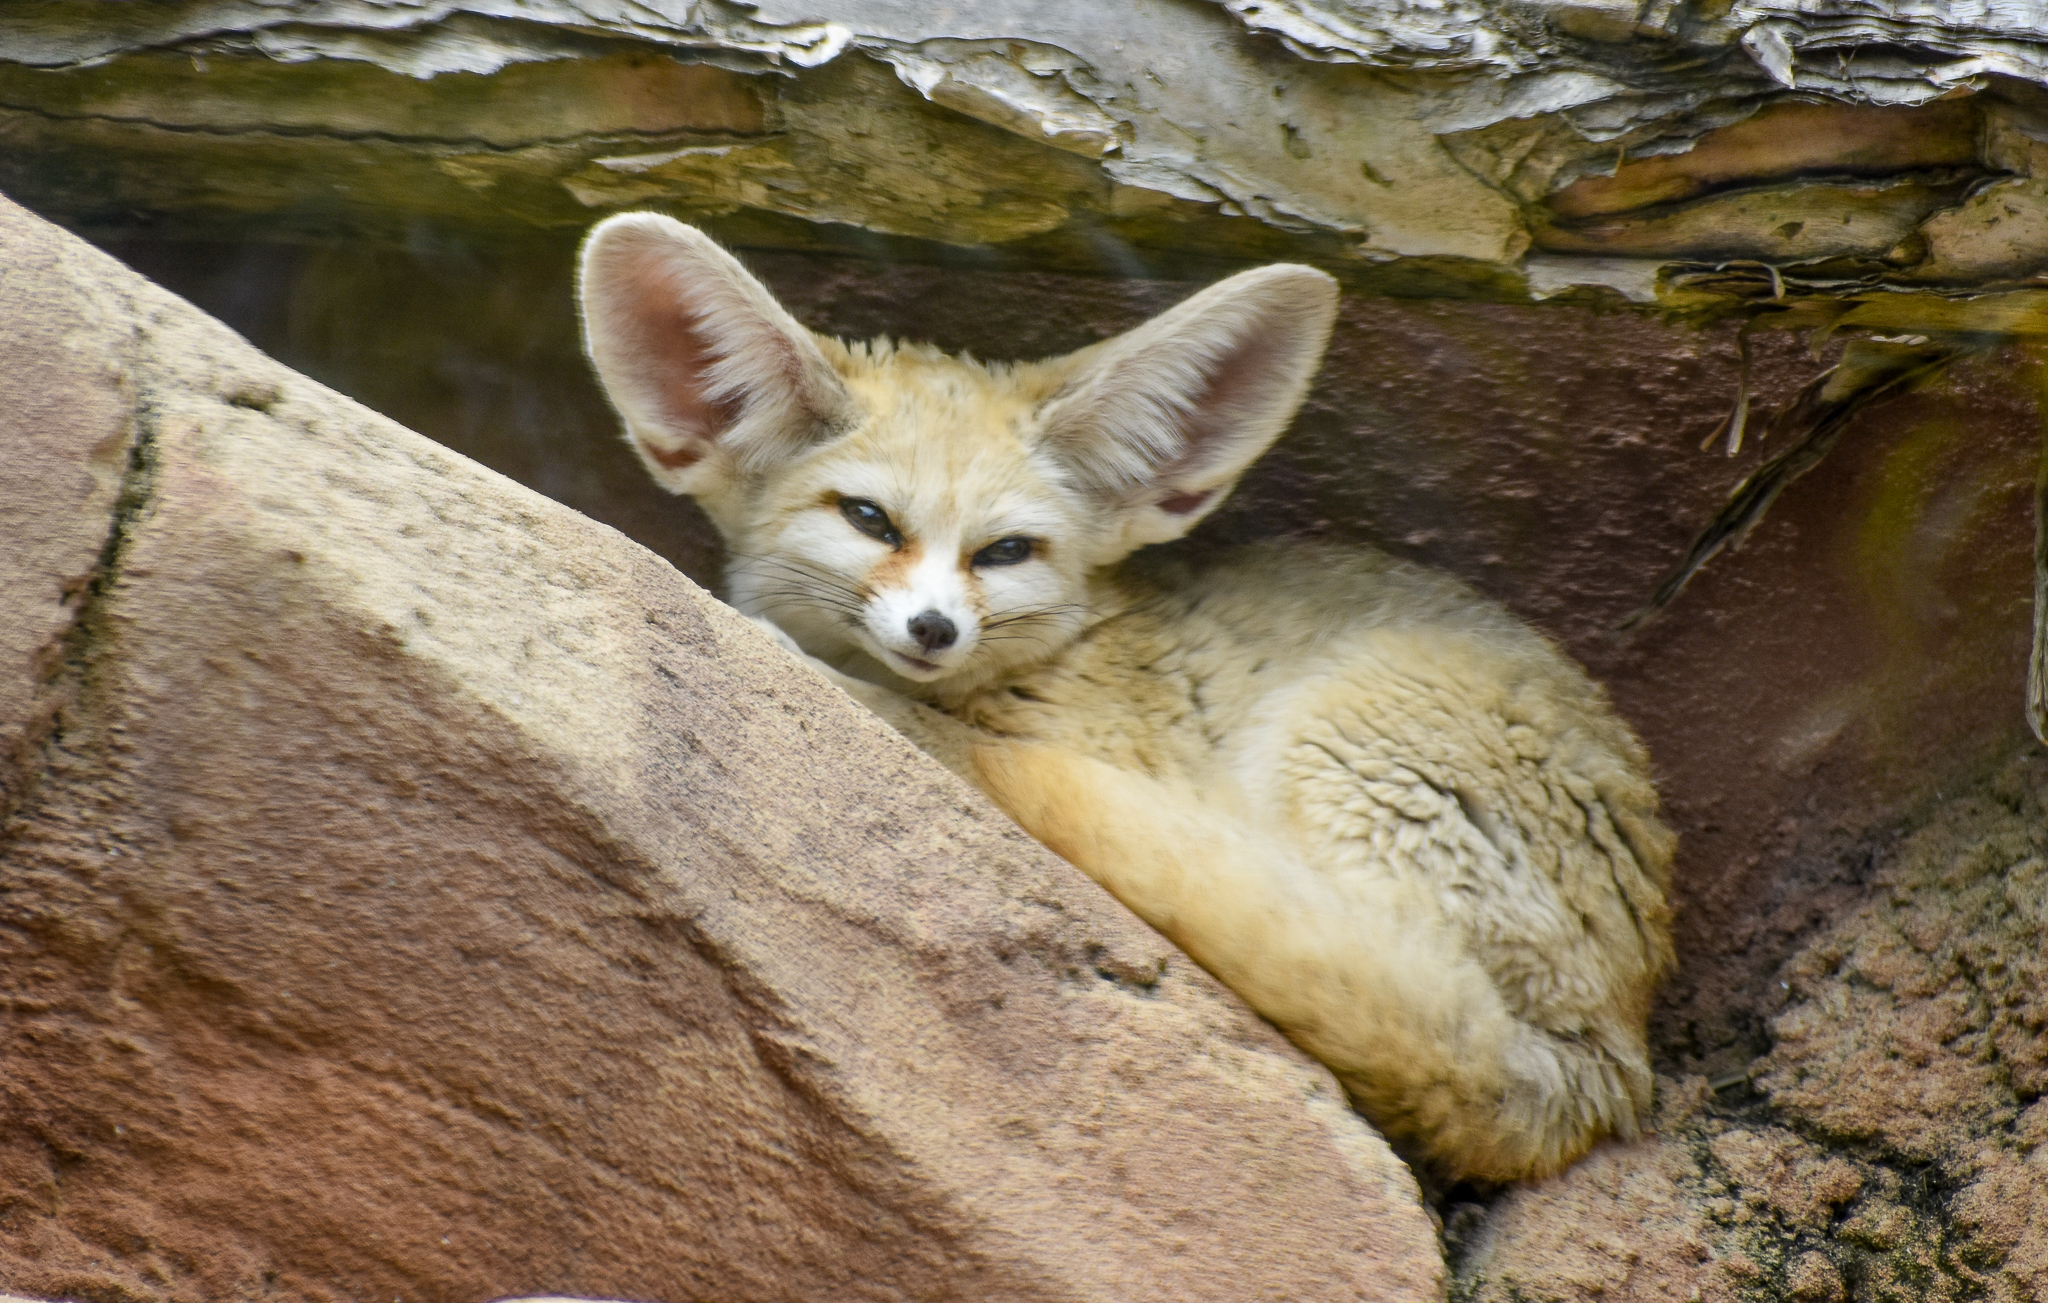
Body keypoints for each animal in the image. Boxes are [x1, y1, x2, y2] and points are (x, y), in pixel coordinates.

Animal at [576, 212, 1677, 1185]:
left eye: (1005, 551)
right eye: (868, 519)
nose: (933, 629)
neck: (1054, 662)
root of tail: (1608, 1060)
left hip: (1340, 751)